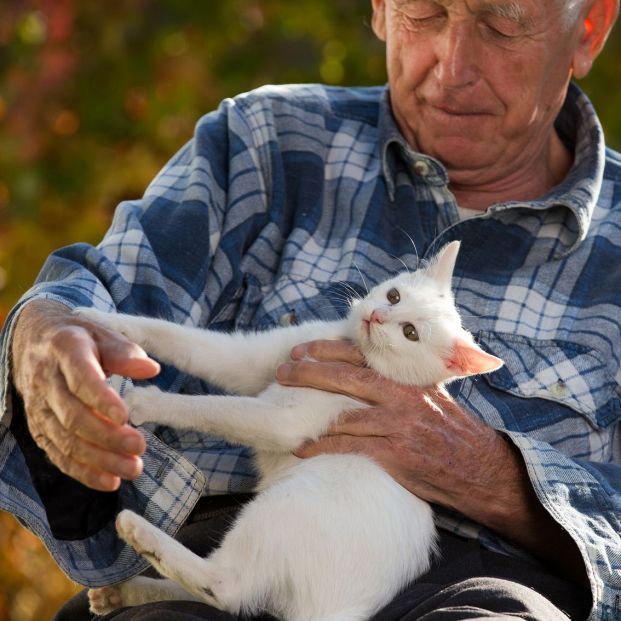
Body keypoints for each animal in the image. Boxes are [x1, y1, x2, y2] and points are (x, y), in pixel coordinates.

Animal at [80, 241, 502, 620]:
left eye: (411, 333)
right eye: (394, 295)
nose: (378, 316)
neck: (355, 351)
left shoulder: (283, 422)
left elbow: (212, 407)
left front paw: (146, 402)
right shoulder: (249, 362)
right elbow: (181, 339)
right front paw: (100, 322)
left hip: (286, 504)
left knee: (227, 589)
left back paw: (137, 532)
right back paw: (123, 592)